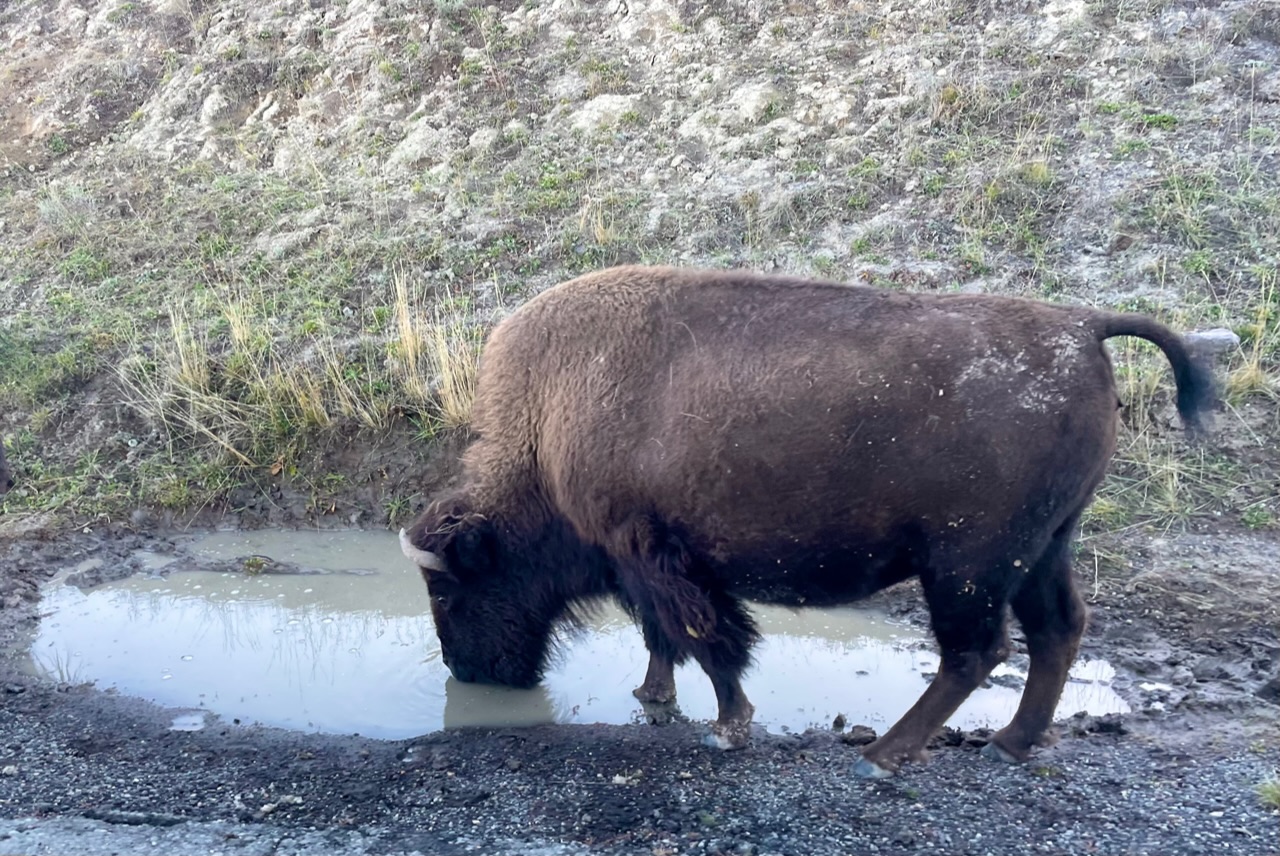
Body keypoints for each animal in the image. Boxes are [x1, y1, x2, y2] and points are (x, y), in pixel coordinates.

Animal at [400, 265, 1214, 777]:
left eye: (450, 591)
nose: (468, 672)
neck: (548, 424)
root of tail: (1081, 327)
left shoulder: (657, 556)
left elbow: (708, 640)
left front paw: (729, 727)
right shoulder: (645, 563)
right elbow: (664, 637)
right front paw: (653, 698)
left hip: (966, 563)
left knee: (976, 650)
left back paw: (885, 755)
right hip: (1044, 548)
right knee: (1055, 632)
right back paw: (1009, 744)